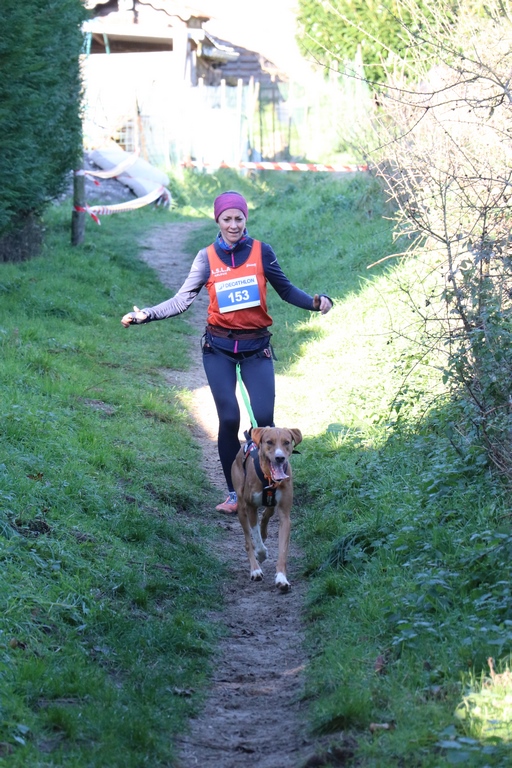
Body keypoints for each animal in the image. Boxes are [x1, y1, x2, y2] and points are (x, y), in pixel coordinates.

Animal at [231, 426, 302, 591]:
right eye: (269, 442)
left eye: (286, 442)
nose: (280, 458)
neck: (269, 478)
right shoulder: (250, 507)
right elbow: (255, 537)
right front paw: (261, 554)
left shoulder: (285, 515)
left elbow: (282, 550)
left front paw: (282, 578)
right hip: (241, 506)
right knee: (248, 541)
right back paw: (255, 570)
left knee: (267, 514)